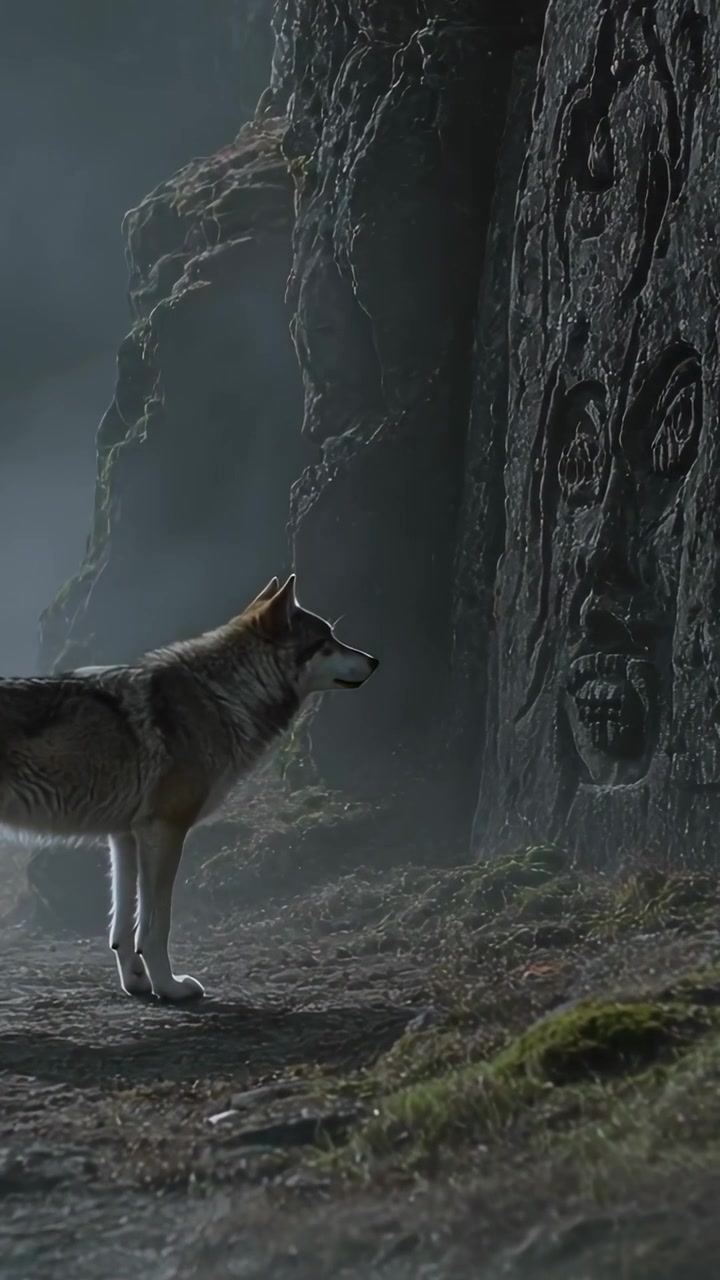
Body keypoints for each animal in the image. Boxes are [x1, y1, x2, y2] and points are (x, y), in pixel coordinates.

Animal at [0, 575, 378, 1001]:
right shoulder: (164, 830)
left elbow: (122, 929)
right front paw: (170, 987)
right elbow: (154, 928)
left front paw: (137, 984)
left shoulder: (125, 836)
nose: (375, 660)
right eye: (327, 641)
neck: (221, 694)